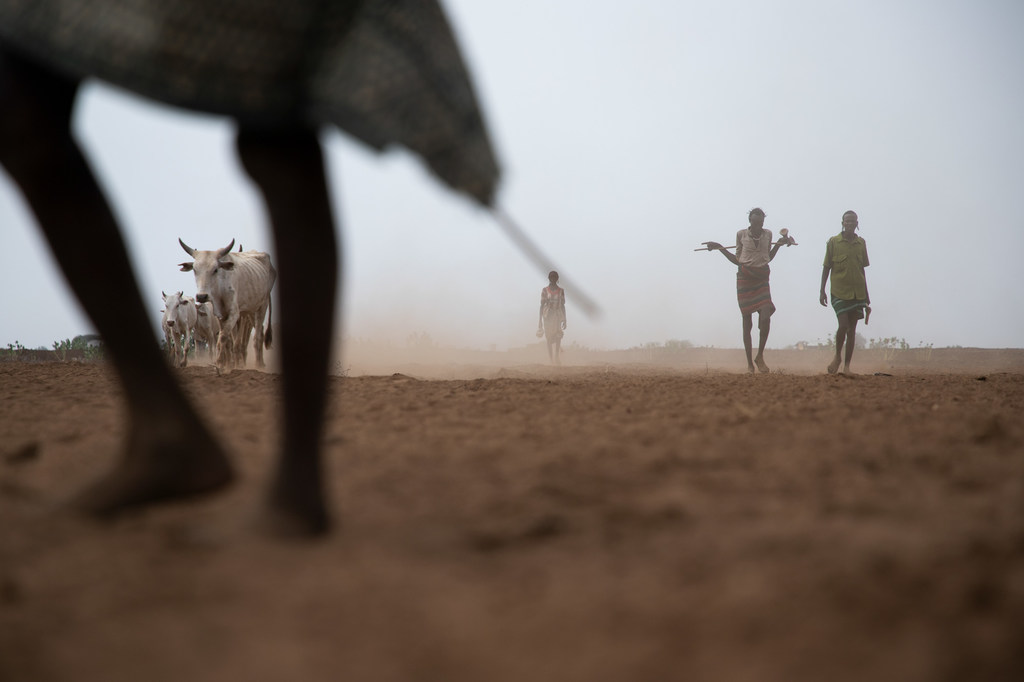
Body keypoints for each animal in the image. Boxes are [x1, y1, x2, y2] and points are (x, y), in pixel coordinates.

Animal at [178, 238, 276, 366]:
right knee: (258, 333)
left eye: (215, 269)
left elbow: (224, 337)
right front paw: (227, 364)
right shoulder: (221, 315)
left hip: (262, 306)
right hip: (250, 310)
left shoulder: (234, 314)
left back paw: (258, 365)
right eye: (194, 270)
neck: (220, 287)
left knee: (258, 336)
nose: (202, 296)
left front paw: (220, 363)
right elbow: (227, 340)